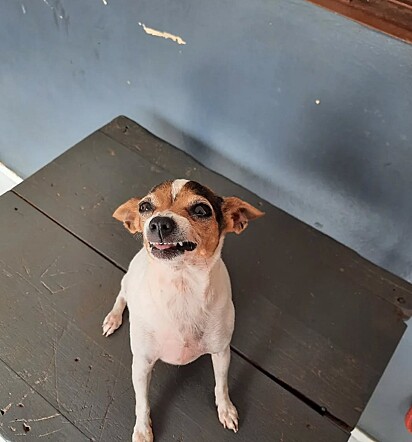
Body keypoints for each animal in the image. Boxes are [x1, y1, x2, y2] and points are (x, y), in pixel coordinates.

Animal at [103, 180, 264, 442]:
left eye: (201, 210)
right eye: (145, 207)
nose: (159, 222)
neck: (181, 286)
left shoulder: (221, 353)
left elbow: (222, 384)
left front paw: (226, 409)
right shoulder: (141, 364)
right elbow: (142, 402)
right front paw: (142, 430)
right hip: (127, 281)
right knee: (121, 295)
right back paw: (113, 318)